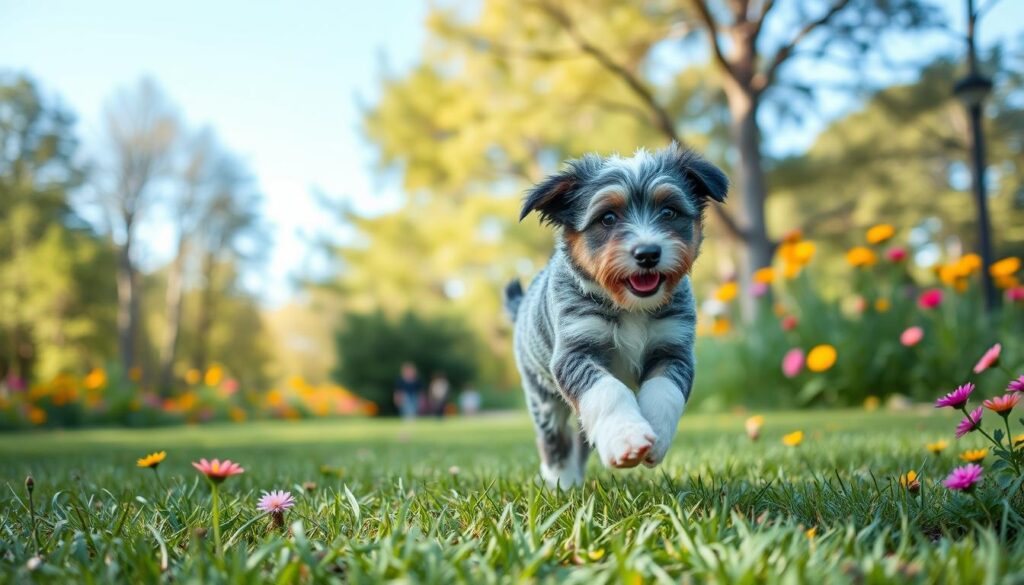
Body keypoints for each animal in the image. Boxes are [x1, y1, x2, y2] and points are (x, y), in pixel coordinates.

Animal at [503, 143, 729, 489]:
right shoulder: (574, 352)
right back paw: (562, 482)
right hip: (543, 397)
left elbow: (664, 392)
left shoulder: (674, 350)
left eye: (669, 212)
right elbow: (608, 391)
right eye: (607, 218)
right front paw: (627, 438)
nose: (647, 254)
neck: (630, 307)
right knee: (555, 441)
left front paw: (656, 433)